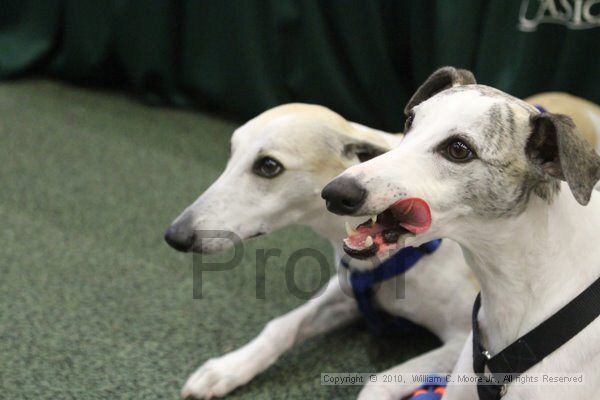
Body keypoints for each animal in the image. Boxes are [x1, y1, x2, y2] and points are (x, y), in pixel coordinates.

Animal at [165, 104, 478, 398]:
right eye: (231, 152)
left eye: (268, 165)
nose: (174, 235)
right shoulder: (349, 290)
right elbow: (282, 326)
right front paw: (227, 369)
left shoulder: (465, 340)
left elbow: (379, 381)